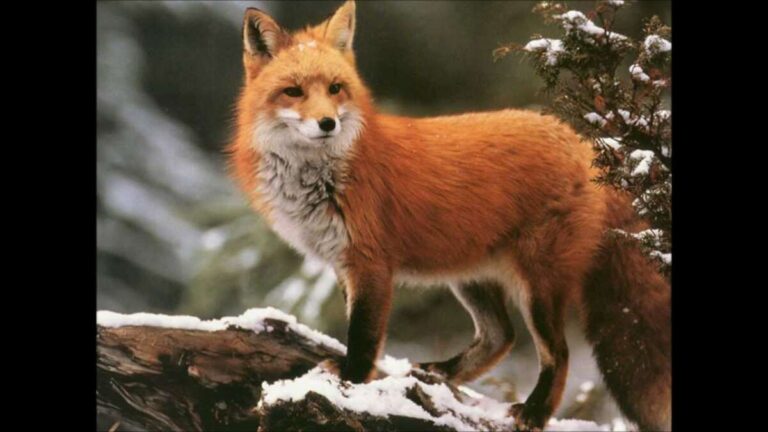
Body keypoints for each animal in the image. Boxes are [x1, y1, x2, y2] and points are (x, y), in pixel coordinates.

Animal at [227, 1, 671, 431]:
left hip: (538, 285)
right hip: (470, 276)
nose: (327, 123)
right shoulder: (342, 262)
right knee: (500, 337)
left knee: (557, 353)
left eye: (335, 88)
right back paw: (441, 374)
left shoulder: (371, 264)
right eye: (293, 92)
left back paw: (534, 413)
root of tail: (585, 144)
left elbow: (364, 337)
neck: (323, 176)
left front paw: (350, 383)